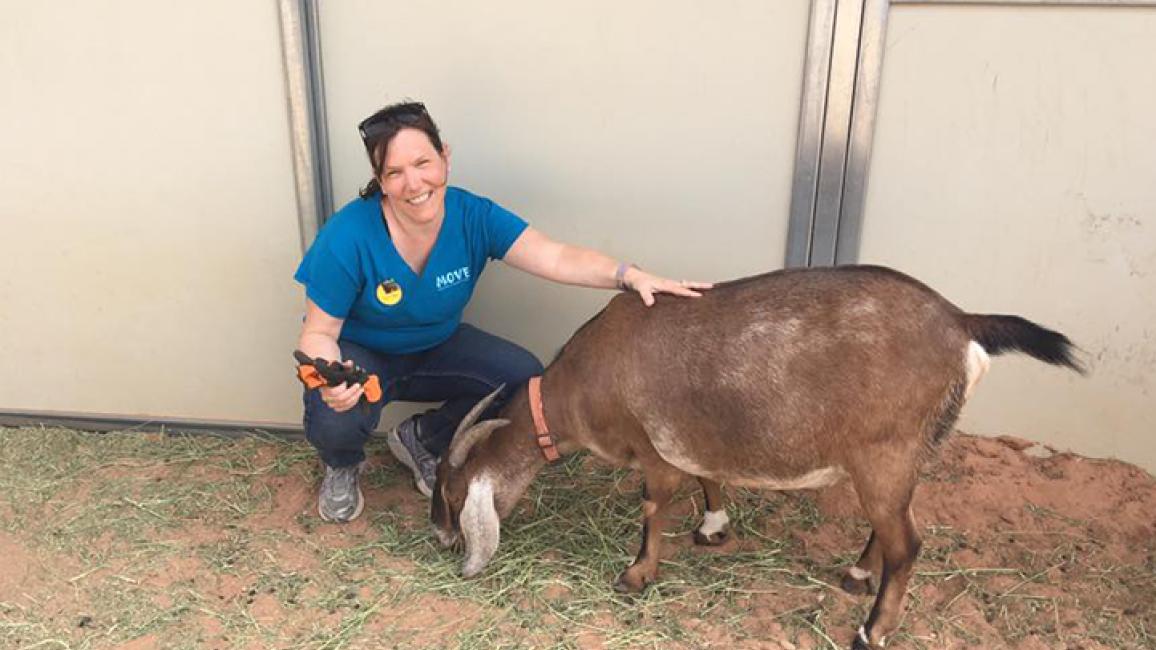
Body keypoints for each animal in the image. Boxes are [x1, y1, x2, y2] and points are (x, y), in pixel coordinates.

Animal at [430, 265, 1082, 649]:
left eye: (453, 493)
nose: (439, 537)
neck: (579, 388)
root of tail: (962, 322)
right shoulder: (693, 439)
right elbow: (710, 480)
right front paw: (713, 528)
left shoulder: (652, 448)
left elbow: (652, 508)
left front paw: (636, 575)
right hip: (903, 457)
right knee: (892, 526)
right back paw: (856, 574)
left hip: (885, 452)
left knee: (909, 545)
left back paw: (870, 629)